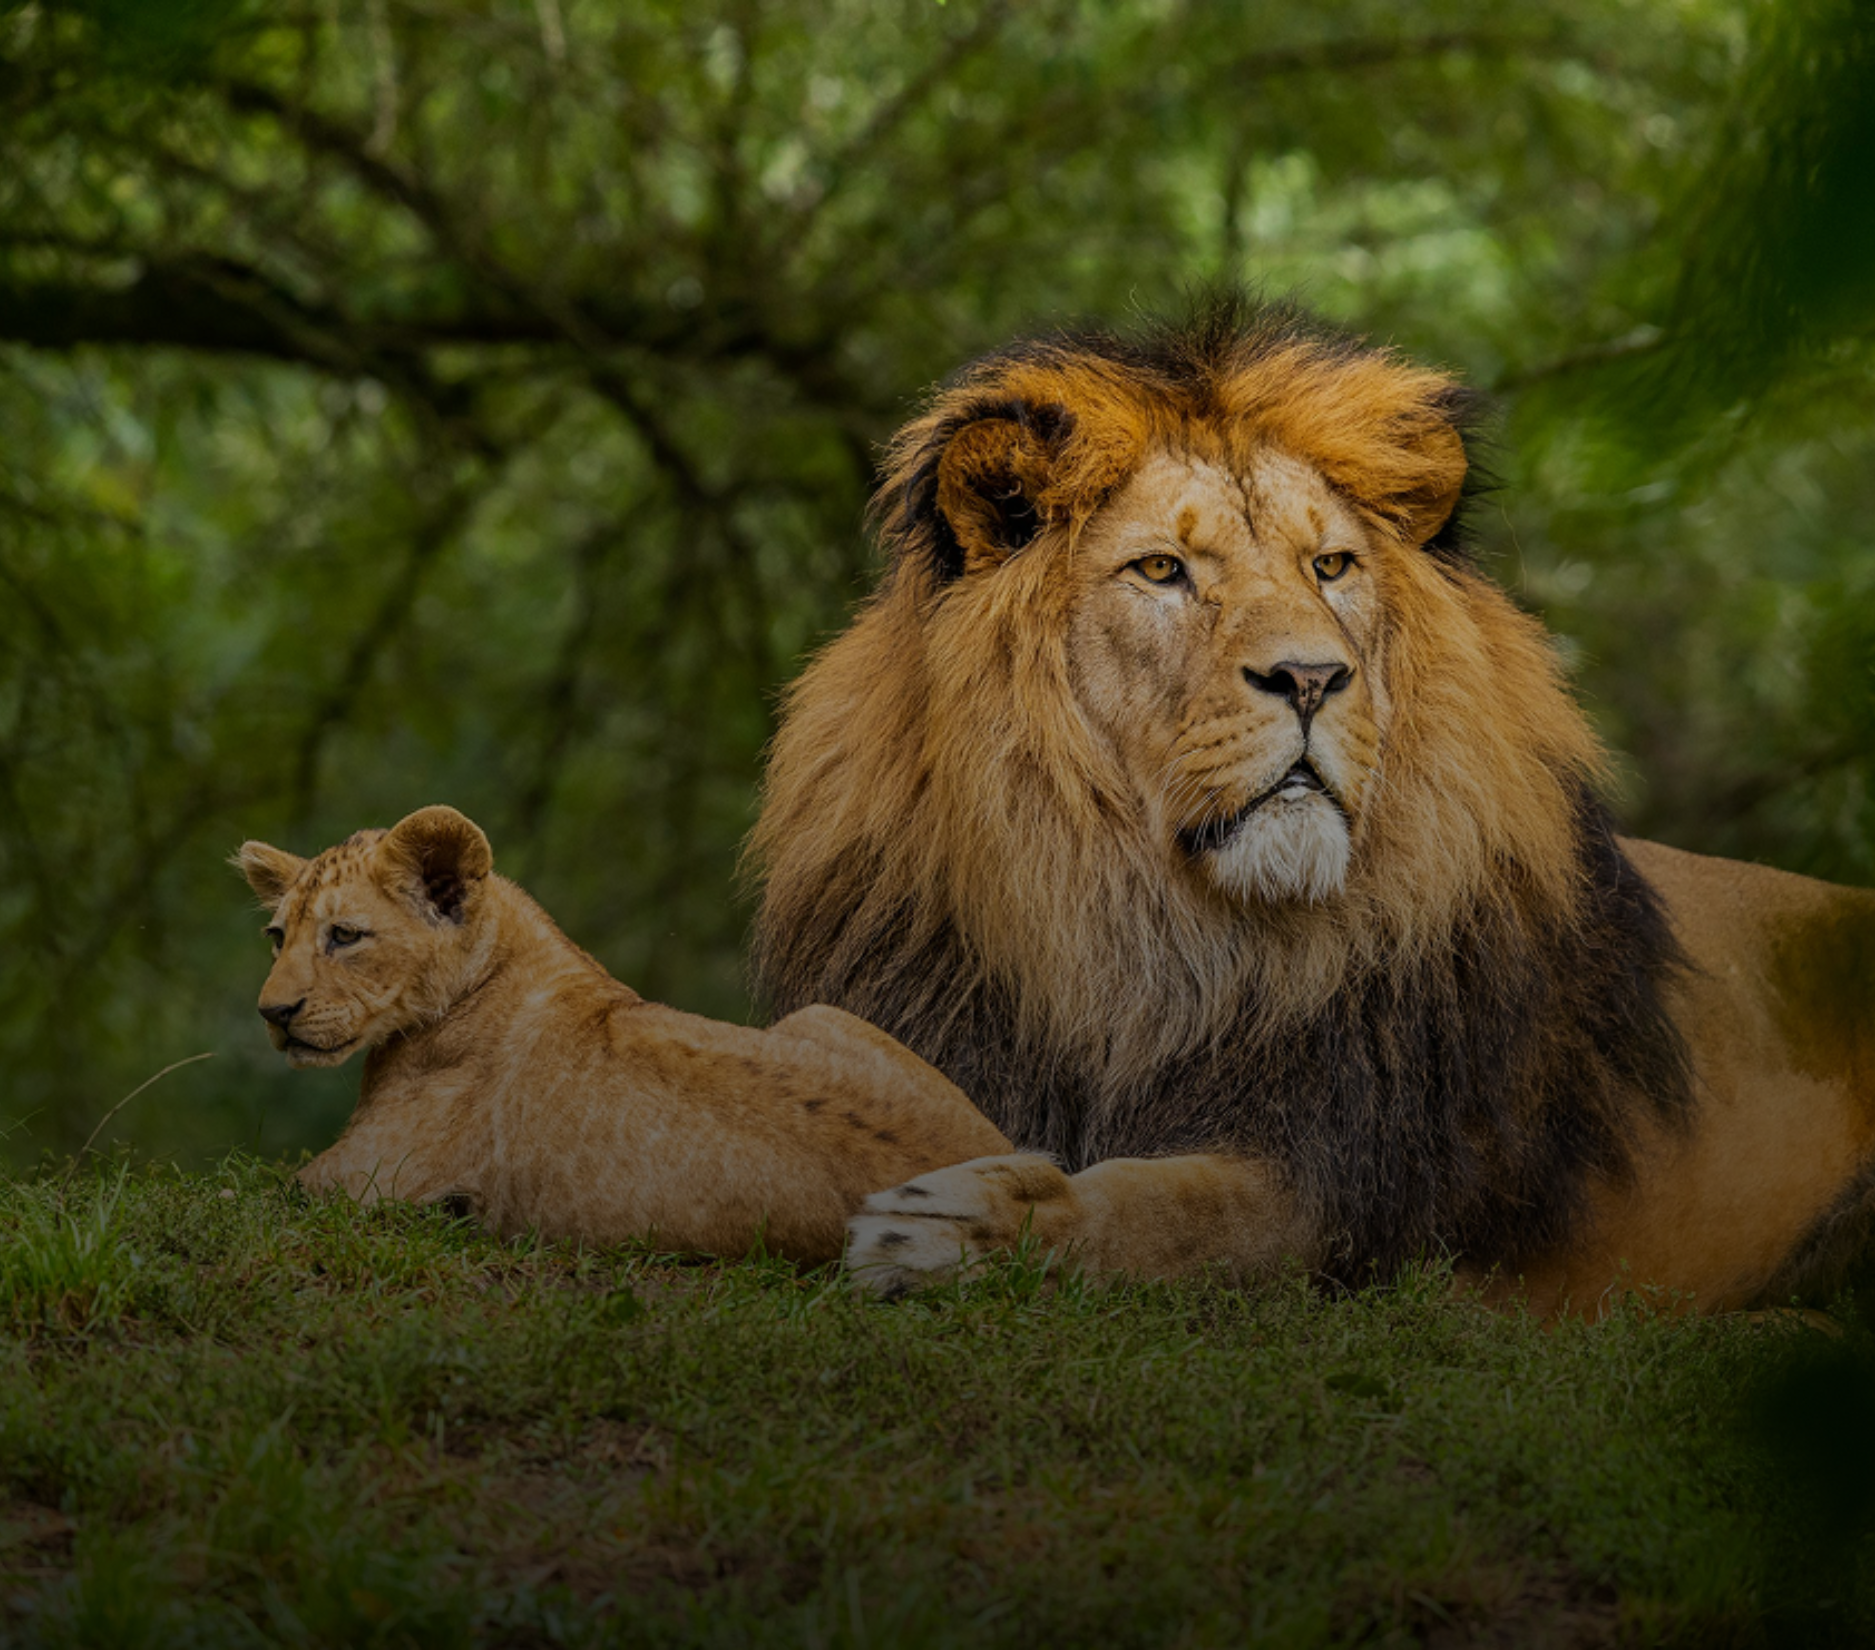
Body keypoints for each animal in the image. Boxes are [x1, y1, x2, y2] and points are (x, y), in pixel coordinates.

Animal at [235, 804, 1011, 1259]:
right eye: (276, 937)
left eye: (344, 936)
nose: (273, 1013)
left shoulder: (356, 1182)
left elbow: (246, 1195)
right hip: (819, 1013)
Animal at [749, 296, 1875, 1312]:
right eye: (1161, 569)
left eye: (1329, 566)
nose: (1310, 678)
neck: (1141, 940)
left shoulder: (1357, 1184)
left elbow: (1173, 1211)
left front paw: (972, 1227)